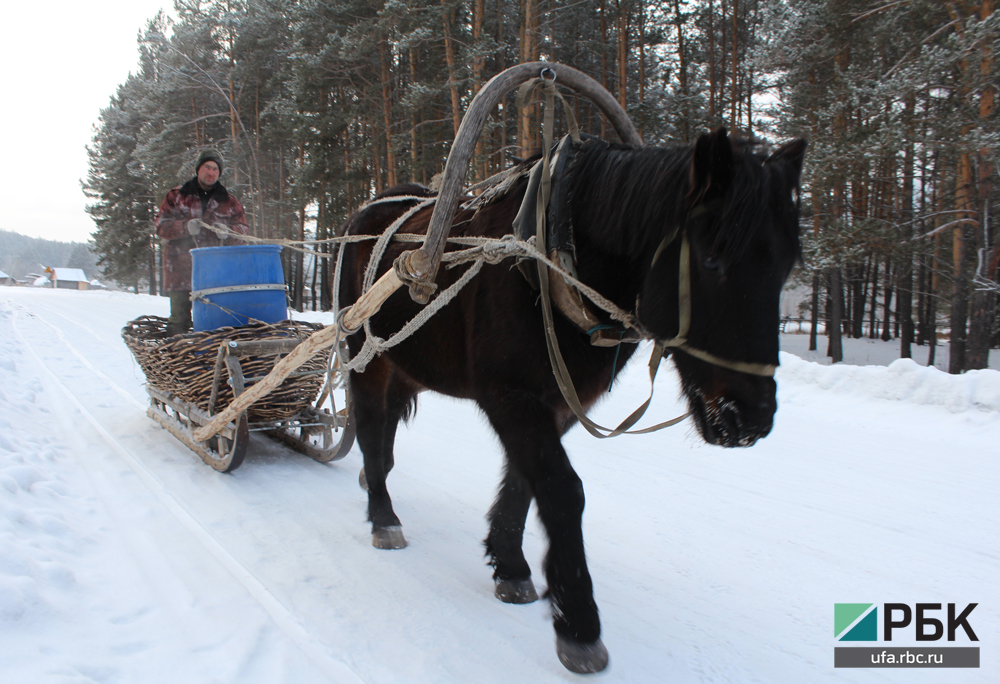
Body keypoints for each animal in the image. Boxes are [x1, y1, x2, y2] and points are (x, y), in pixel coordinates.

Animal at [340, 128, 808, 672]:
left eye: (786, 267)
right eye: (712, 259)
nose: (750, 418)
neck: (550, 259)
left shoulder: (560, 402)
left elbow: (525, 482)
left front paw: (510, 564)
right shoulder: (511, 396)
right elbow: (563, 490)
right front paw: (579, 623)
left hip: (407, 361)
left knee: (388, 424)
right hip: (365, 353)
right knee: (370, 425)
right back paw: (383, 515)